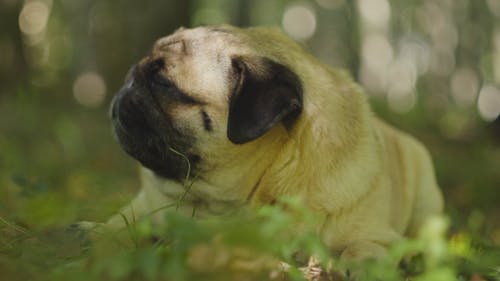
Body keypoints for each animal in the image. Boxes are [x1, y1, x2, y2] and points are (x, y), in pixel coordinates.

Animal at [100, 25, 442, 260]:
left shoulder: (379, 237)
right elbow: (119, 224)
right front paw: (94, 236)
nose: (130, 78)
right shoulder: (144, 207)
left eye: (164, 83)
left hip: (426, 207)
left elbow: (363, 249)